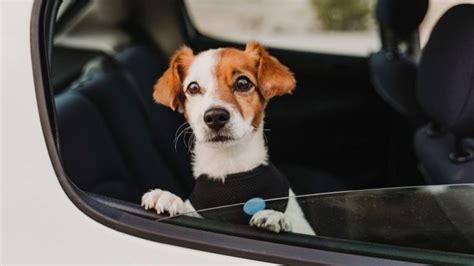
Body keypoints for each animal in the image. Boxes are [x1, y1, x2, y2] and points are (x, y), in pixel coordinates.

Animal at [143, 42, 316, 235]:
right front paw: (167, 197)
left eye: (242, 83)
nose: (215, 116)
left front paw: (275, 214)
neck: (229, 163)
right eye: (193, 88)